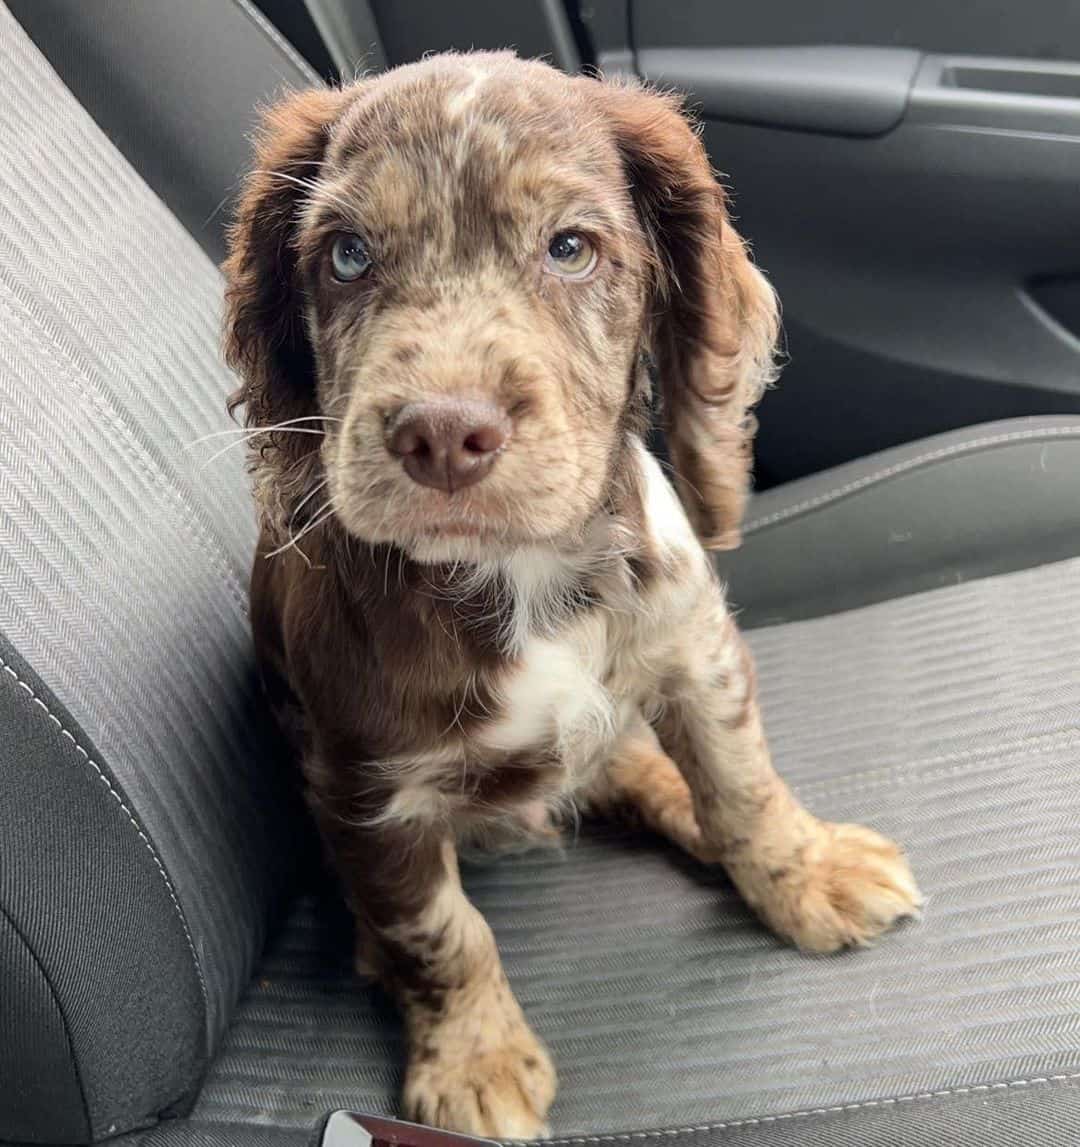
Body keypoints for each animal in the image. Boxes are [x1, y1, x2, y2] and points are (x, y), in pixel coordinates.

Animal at [222, 53, 921, 1137]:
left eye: (570, 248)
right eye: (345, 255)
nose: (441, 434)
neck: (523, 574)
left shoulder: (697, 649)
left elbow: (741, 781)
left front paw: (802, 871)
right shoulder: (366, 789)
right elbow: (437, 927)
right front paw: (473, 1059)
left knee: (635, 767)